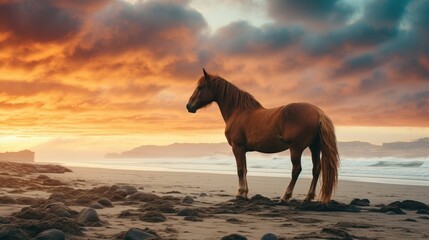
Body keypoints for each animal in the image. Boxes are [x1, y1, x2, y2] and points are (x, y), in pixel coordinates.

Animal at [186, 68, 340, 203]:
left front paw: (240, 194)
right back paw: (307, 198)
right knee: (316, 169)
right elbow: (245, 170)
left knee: (297, 170)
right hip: (314, 147)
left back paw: (285, 197)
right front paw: (245, 193)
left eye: (200, 87)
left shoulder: (237, 147)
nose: (188, 106)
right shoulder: (243, 150)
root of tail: (318, 112)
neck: (238, 112)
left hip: (296, 148)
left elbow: (240, 170)